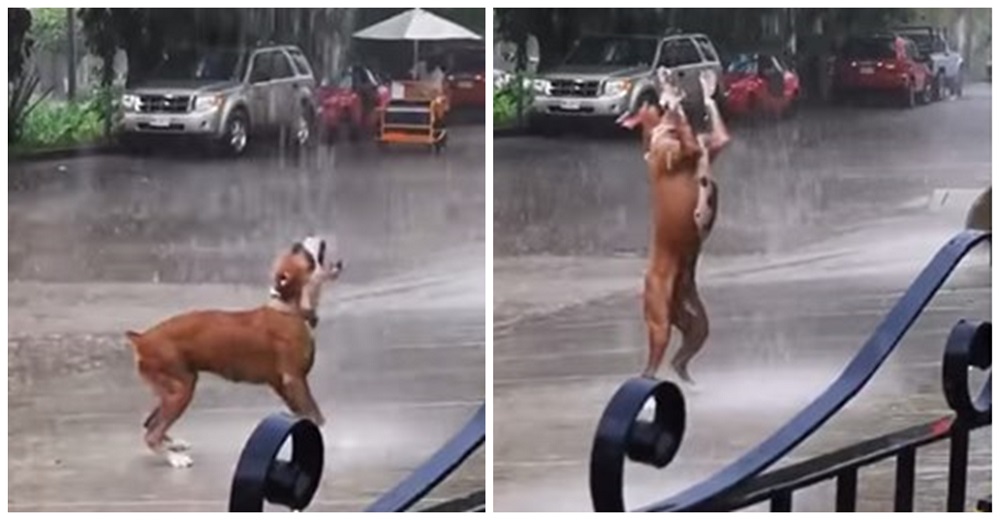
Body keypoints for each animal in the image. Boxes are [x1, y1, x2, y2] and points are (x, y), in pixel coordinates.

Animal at [124, 238, 344, 470]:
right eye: (301, 252)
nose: (300, 241)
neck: (289, 308)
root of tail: (142, 339)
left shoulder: (284, 386)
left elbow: (303, 414)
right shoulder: (295, 380)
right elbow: (315, 415)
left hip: (173, 389)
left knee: (150, 423)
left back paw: (174, 444)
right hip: (181, 389)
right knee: (152, 433)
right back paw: (175, 458)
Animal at [616, 67, 728, 380]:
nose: (662, 70)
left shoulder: (713, 142)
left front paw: (706, 86)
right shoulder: (685, 149)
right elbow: (681, 122)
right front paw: (673, 99)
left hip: (697, 324)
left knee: (681, 358)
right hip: (659, 321)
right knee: (651, 366)